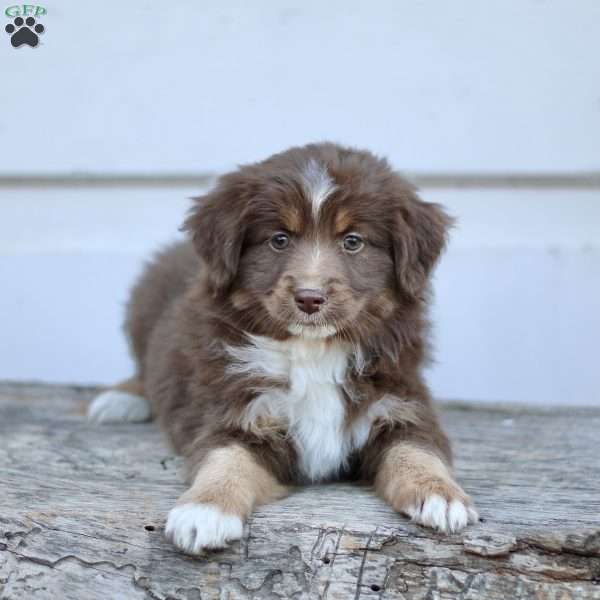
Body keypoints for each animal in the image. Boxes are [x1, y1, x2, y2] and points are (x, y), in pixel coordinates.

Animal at [86, 141, 478, 552]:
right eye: (279, 239)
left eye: (352, 241)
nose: (310, 297)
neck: (313, 352)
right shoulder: (239, 413)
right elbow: (226, 459)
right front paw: (204, 510)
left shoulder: (401, 403)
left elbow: (417, 451)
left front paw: (441, 495)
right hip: (141, 308)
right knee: (144, 368)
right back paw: (120, 398)